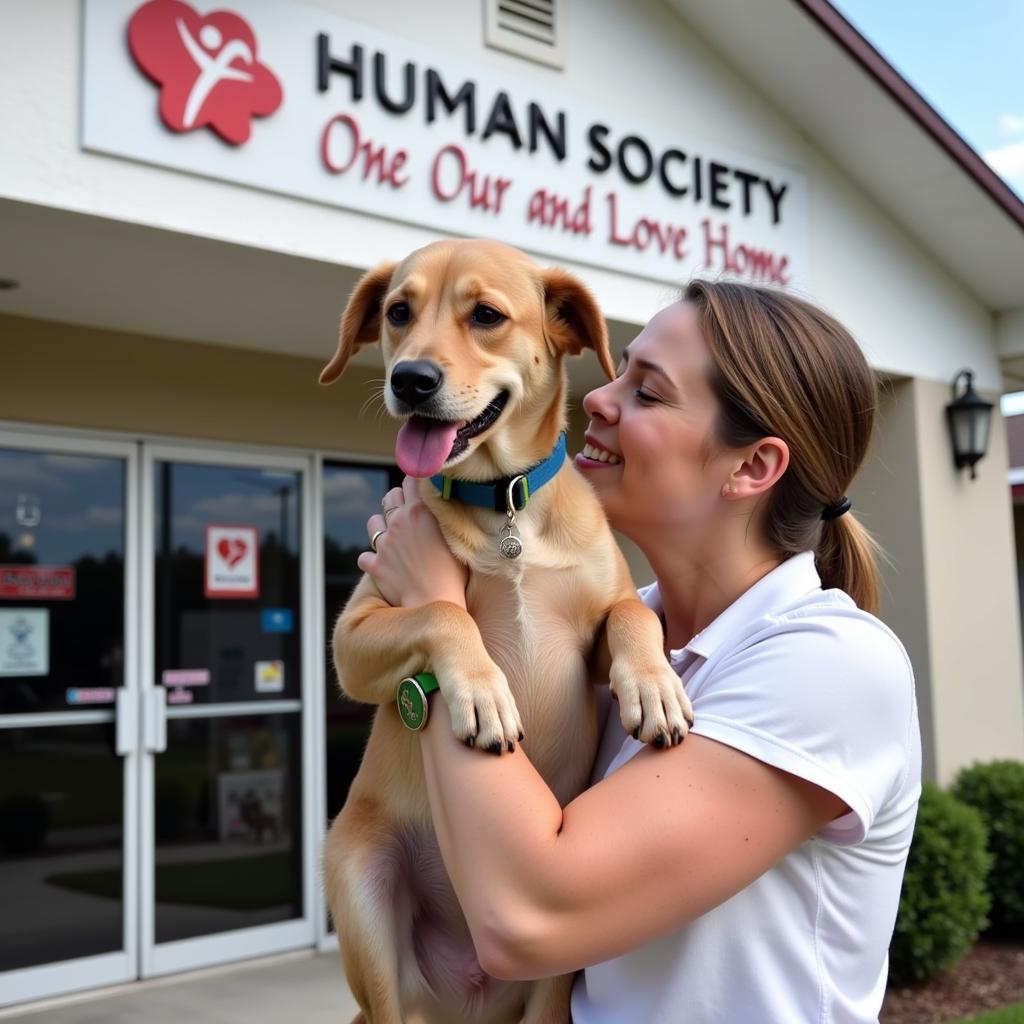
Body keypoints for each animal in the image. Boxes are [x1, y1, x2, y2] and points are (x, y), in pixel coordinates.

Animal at [323, 241, 692, 1024]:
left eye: (487, 315)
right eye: (398, 312)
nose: (410, 379)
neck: (504, 508)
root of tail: (466, 987)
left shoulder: (600, 623)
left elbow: (634, 613)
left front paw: (654, 688)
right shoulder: (354, 636)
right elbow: (445, 611)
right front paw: (483, 695)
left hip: (554, 977)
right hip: (362, 896)